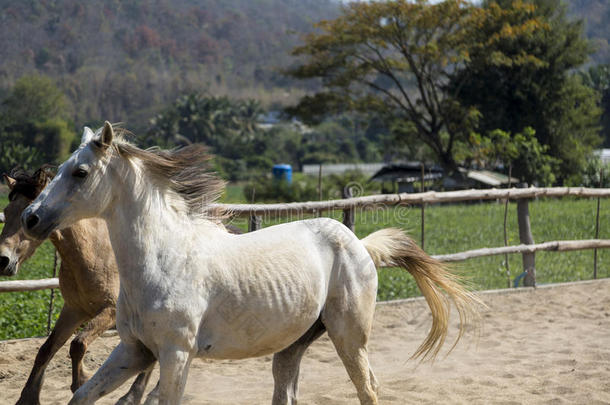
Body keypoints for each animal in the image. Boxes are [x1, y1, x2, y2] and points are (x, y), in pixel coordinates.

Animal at [0, 167, 150, 404]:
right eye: (6, 211)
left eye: (27, 216)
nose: (2, 260)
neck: (93, 253)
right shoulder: (74, 310)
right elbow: (47, 349)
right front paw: (28, 397)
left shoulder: (110, 310)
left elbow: (78, 343)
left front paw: (81, 381)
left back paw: (132, 396)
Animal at [22, 122, 480, 404]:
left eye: (80, 172)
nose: (31, 218)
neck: (163, 259)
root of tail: (361, 246)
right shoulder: (135, 350)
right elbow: (82, 396)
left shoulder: (175, 353)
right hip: (293, 345)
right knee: (288, 393)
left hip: (349, 336)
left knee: (367, 388)